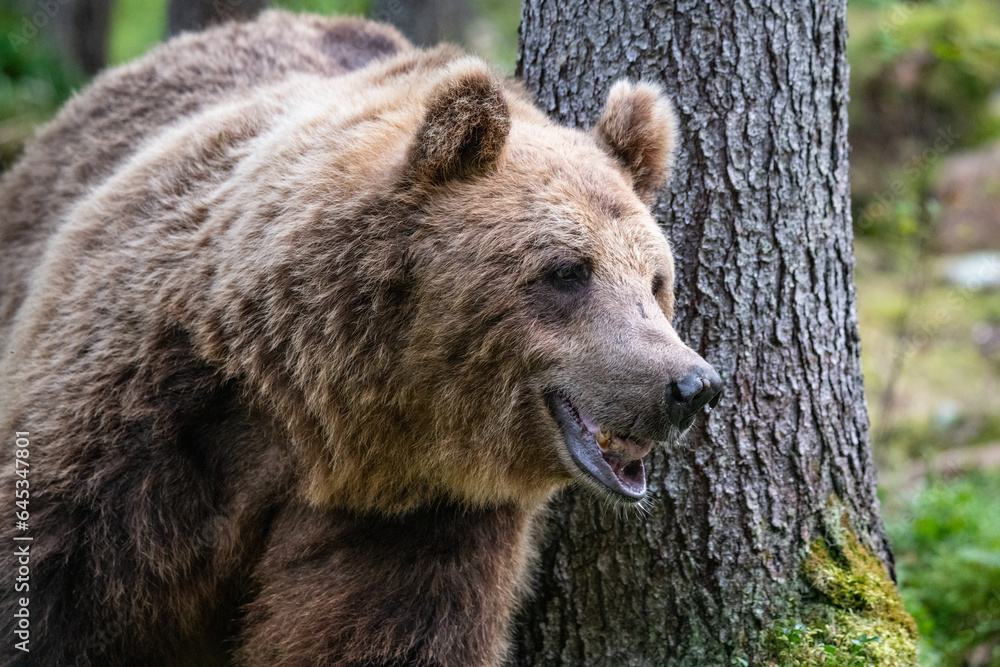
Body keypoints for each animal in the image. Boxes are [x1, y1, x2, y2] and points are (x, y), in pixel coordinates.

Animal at [0, 10, 722, 666]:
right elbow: (50, 578)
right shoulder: (144, 422)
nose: (690, 384)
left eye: (656, 281)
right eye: (568, 270)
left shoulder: (415, 525)